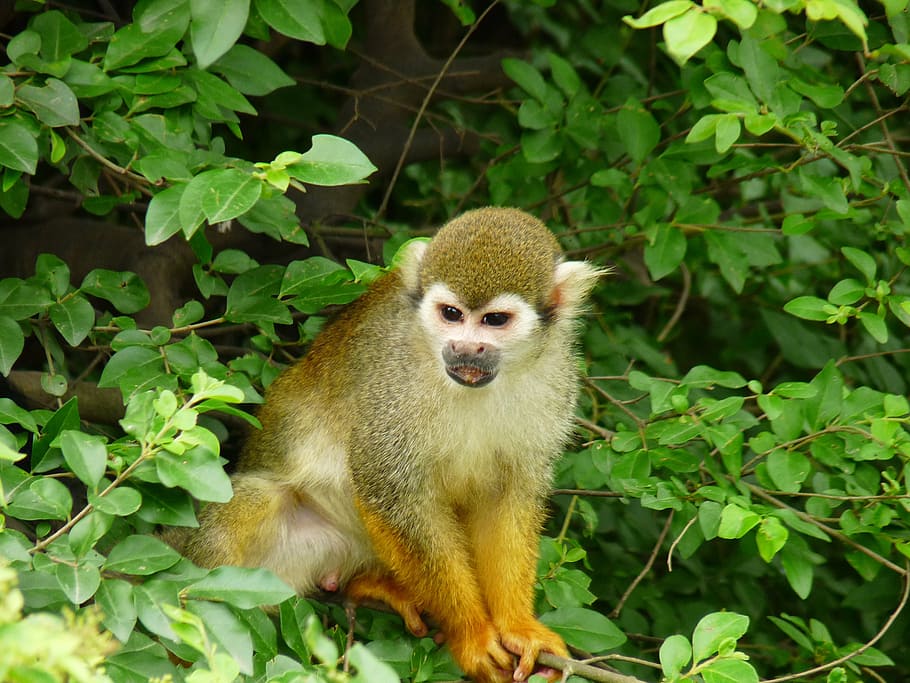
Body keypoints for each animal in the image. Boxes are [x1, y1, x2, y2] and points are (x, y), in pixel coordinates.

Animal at [170, 207, 603, 682]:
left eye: (494, 321)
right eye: (451, 314)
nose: (465, 347)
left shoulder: (558, 380)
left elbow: (508, 497)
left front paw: (517, 626)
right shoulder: (389, 382)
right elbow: (389, 491)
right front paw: (472, 634)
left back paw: (372, 587)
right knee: (250, 505)